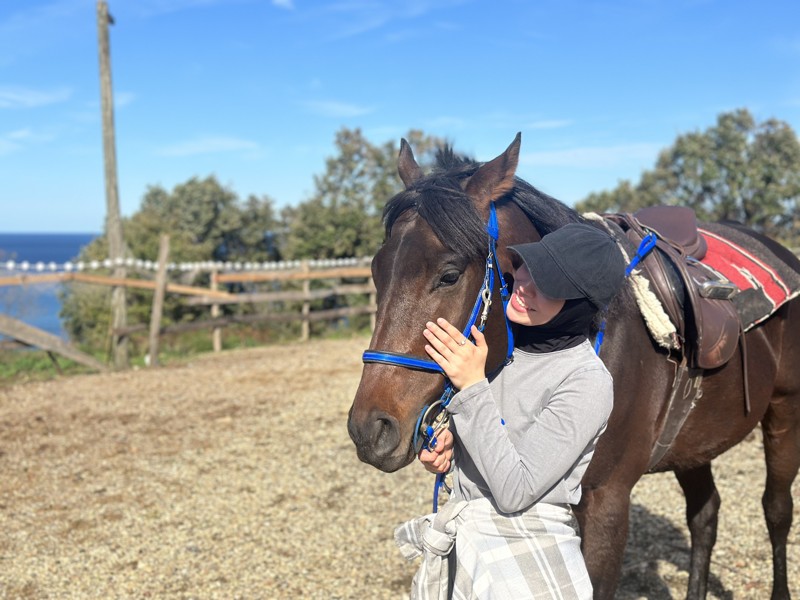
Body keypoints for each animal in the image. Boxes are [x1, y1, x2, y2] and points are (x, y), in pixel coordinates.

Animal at [348, 135, 800, 600]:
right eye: (376, 272)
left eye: (450, 275)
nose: (370, 429)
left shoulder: (606, 501)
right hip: (695, 442)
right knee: (705, 515)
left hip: (785, 413)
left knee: (777, 510)